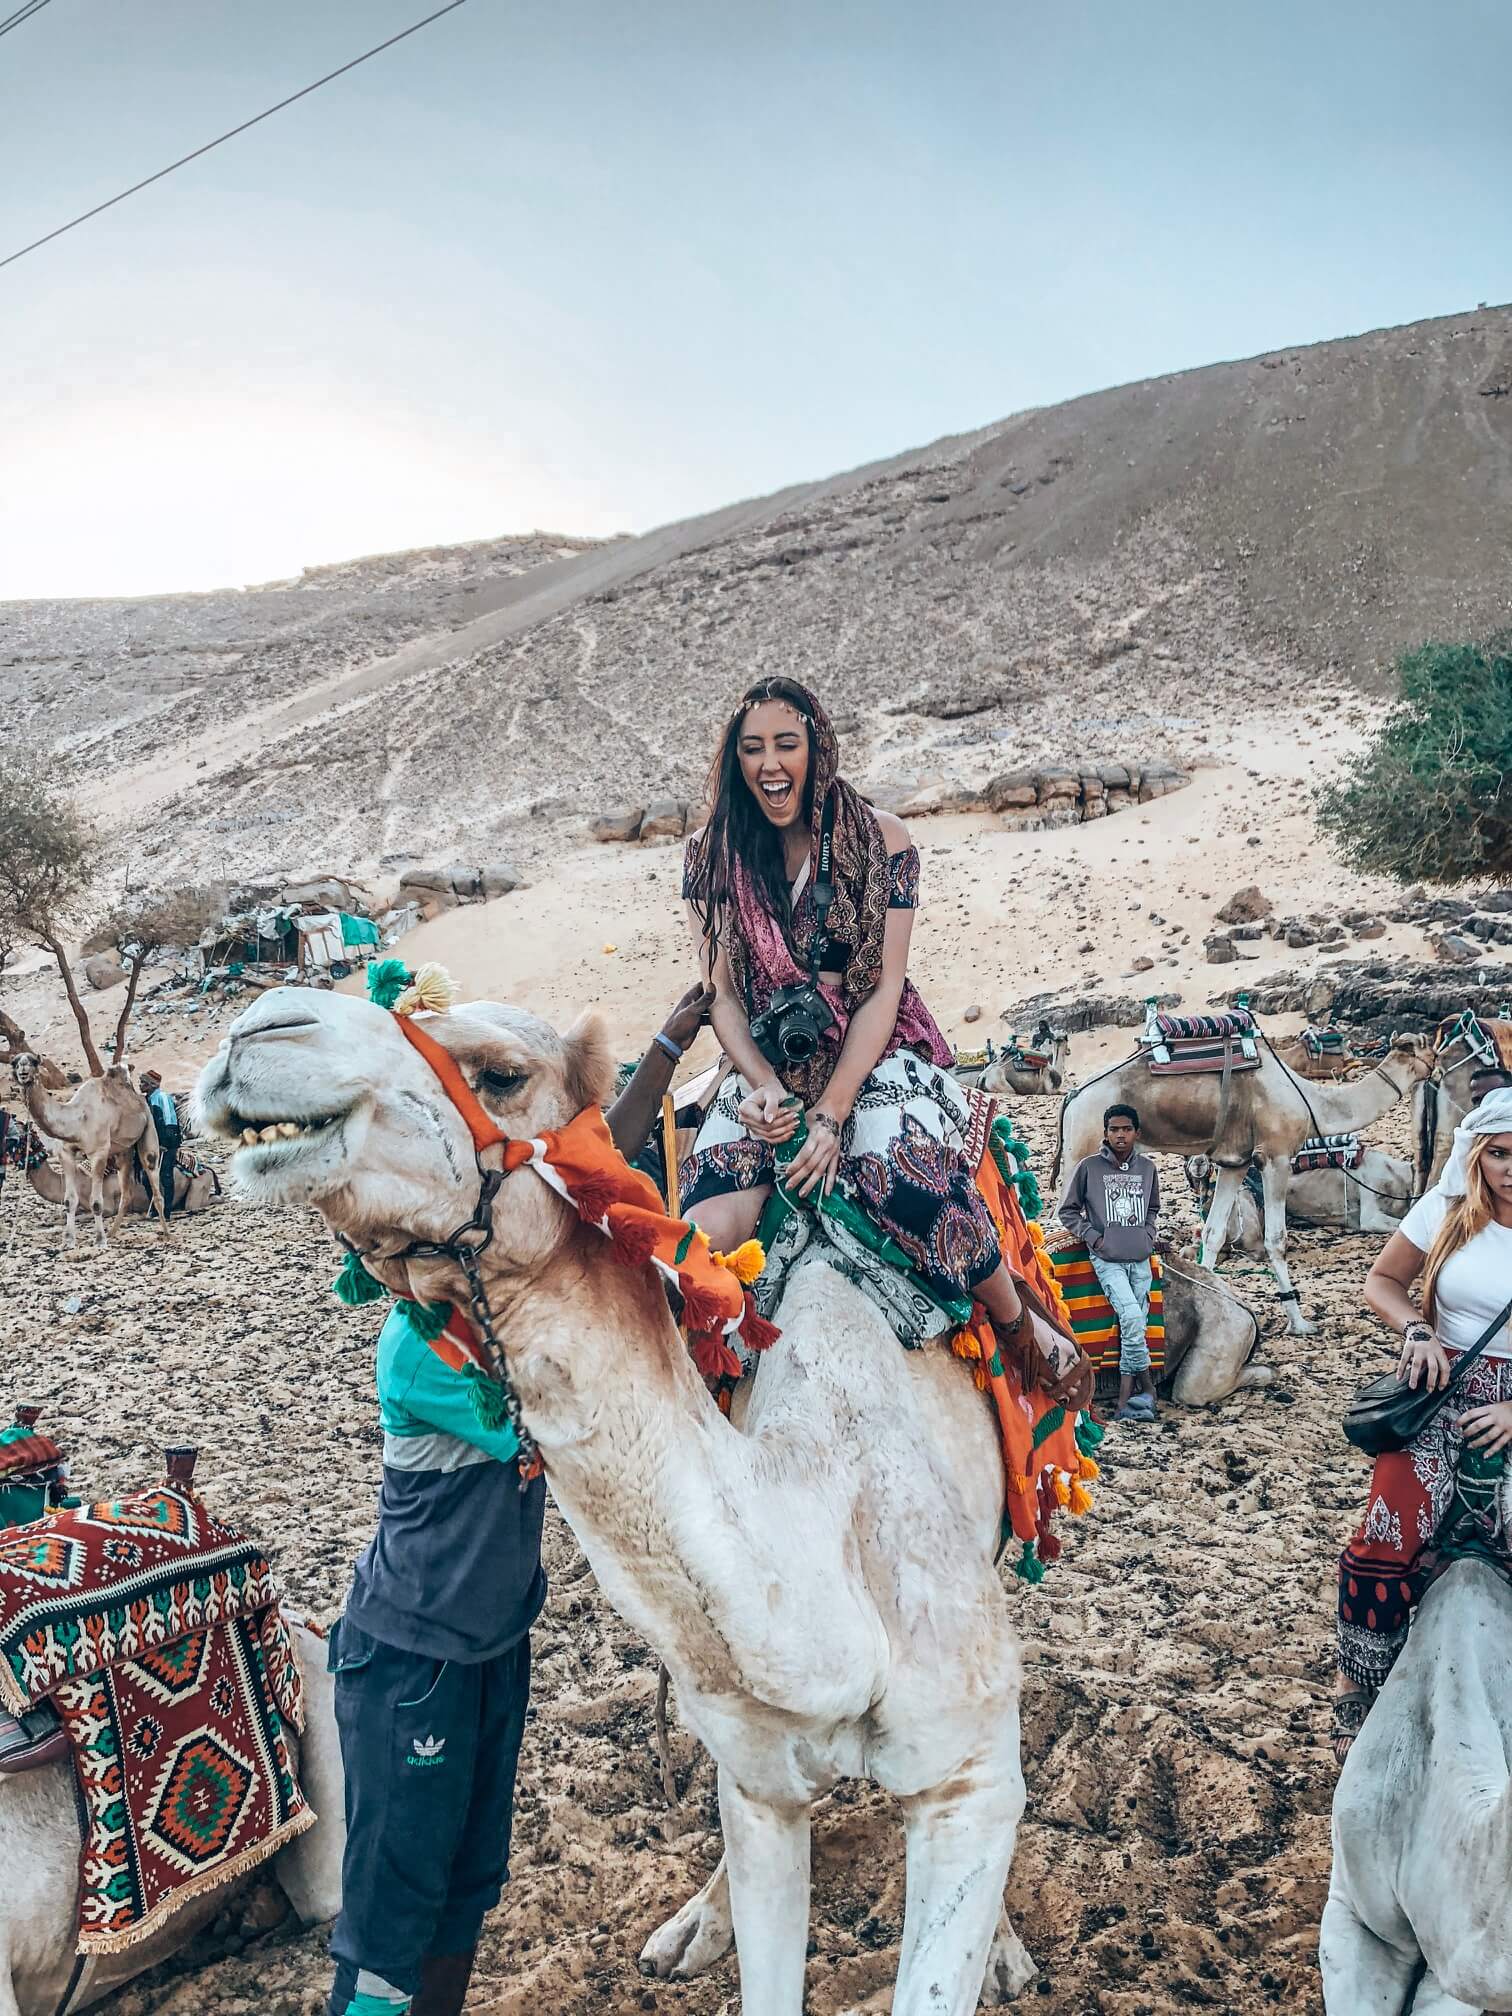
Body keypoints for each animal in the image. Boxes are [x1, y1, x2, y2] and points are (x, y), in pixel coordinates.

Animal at [10, 1056, 167, 1241]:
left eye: (33, 1062)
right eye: (15, 1063)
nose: (23, 1074)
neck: (77, 1119)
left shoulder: (99, 1153)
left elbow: (97, 1204)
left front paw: (99, 1239)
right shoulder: (66, 1153)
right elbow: (69, 1201)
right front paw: (69, 1239)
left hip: (149, 1129)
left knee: (154, 1180)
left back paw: (167, 1235)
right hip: (124, 1150)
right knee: (126, 1193)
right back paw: (112, 1233)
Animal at [195, 987, 1056, 2016]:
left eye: (501, 1074)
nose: (255, 1032)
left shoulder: (963, 1764)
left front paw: (993, 1945)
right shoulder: (759, 1775)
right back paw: (693, 1927)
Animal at [1056, 1040, 1435, 1338]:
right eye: (1427, 1048)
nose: (1437, 1066)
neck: (1311, 1101)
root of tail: (1072, 1097)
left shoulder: (1234, 1163)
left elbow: (1213, 1233)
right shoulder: (1276, 1156)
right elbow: (1276, 1239)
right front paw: (1299, 1323)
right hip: (1083, 1146)